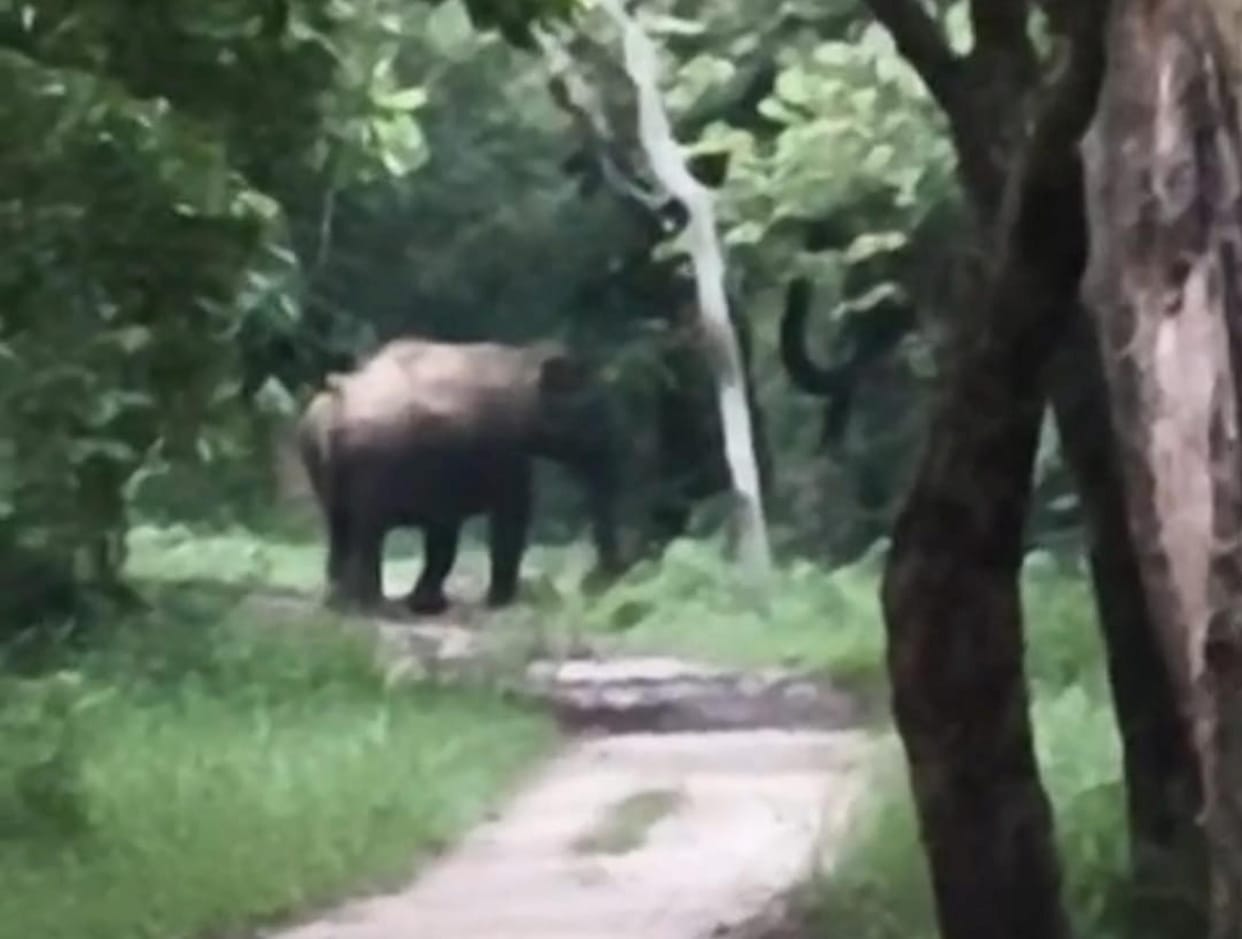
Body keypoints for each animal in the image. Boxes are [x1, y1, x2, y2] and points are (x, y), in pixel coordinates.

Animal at [296, 336, 625, 614]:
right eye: (597, 411)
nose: (596, 583)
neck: (523, 360)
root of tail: (337, 396)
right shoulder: (503, 449)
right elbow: (511, 514)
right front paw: (498, 603)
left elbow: (445, 530)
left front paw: (428, 604)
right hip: (371, 463)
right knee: (367, 530)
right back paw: (373, 607)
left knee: (340, 524)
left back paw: (339, 603)